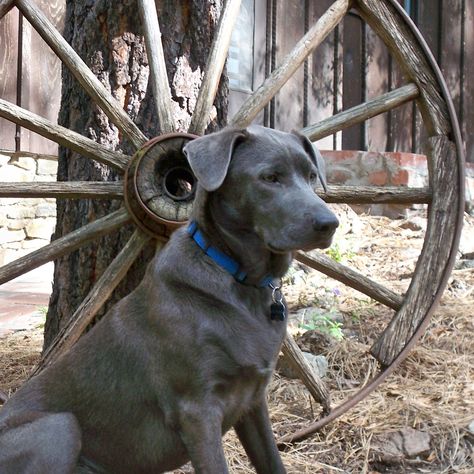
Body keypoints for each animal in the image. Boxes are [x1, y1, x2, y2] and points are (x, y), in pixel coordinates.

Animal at [1, 127, 338, 474]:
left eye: (312, 176)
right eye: (270, 177)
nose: (330, 224)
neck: (241, 279)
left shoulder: (254, 401)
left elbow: (272, 461)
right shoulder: (197, 411)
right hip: (59, 427)